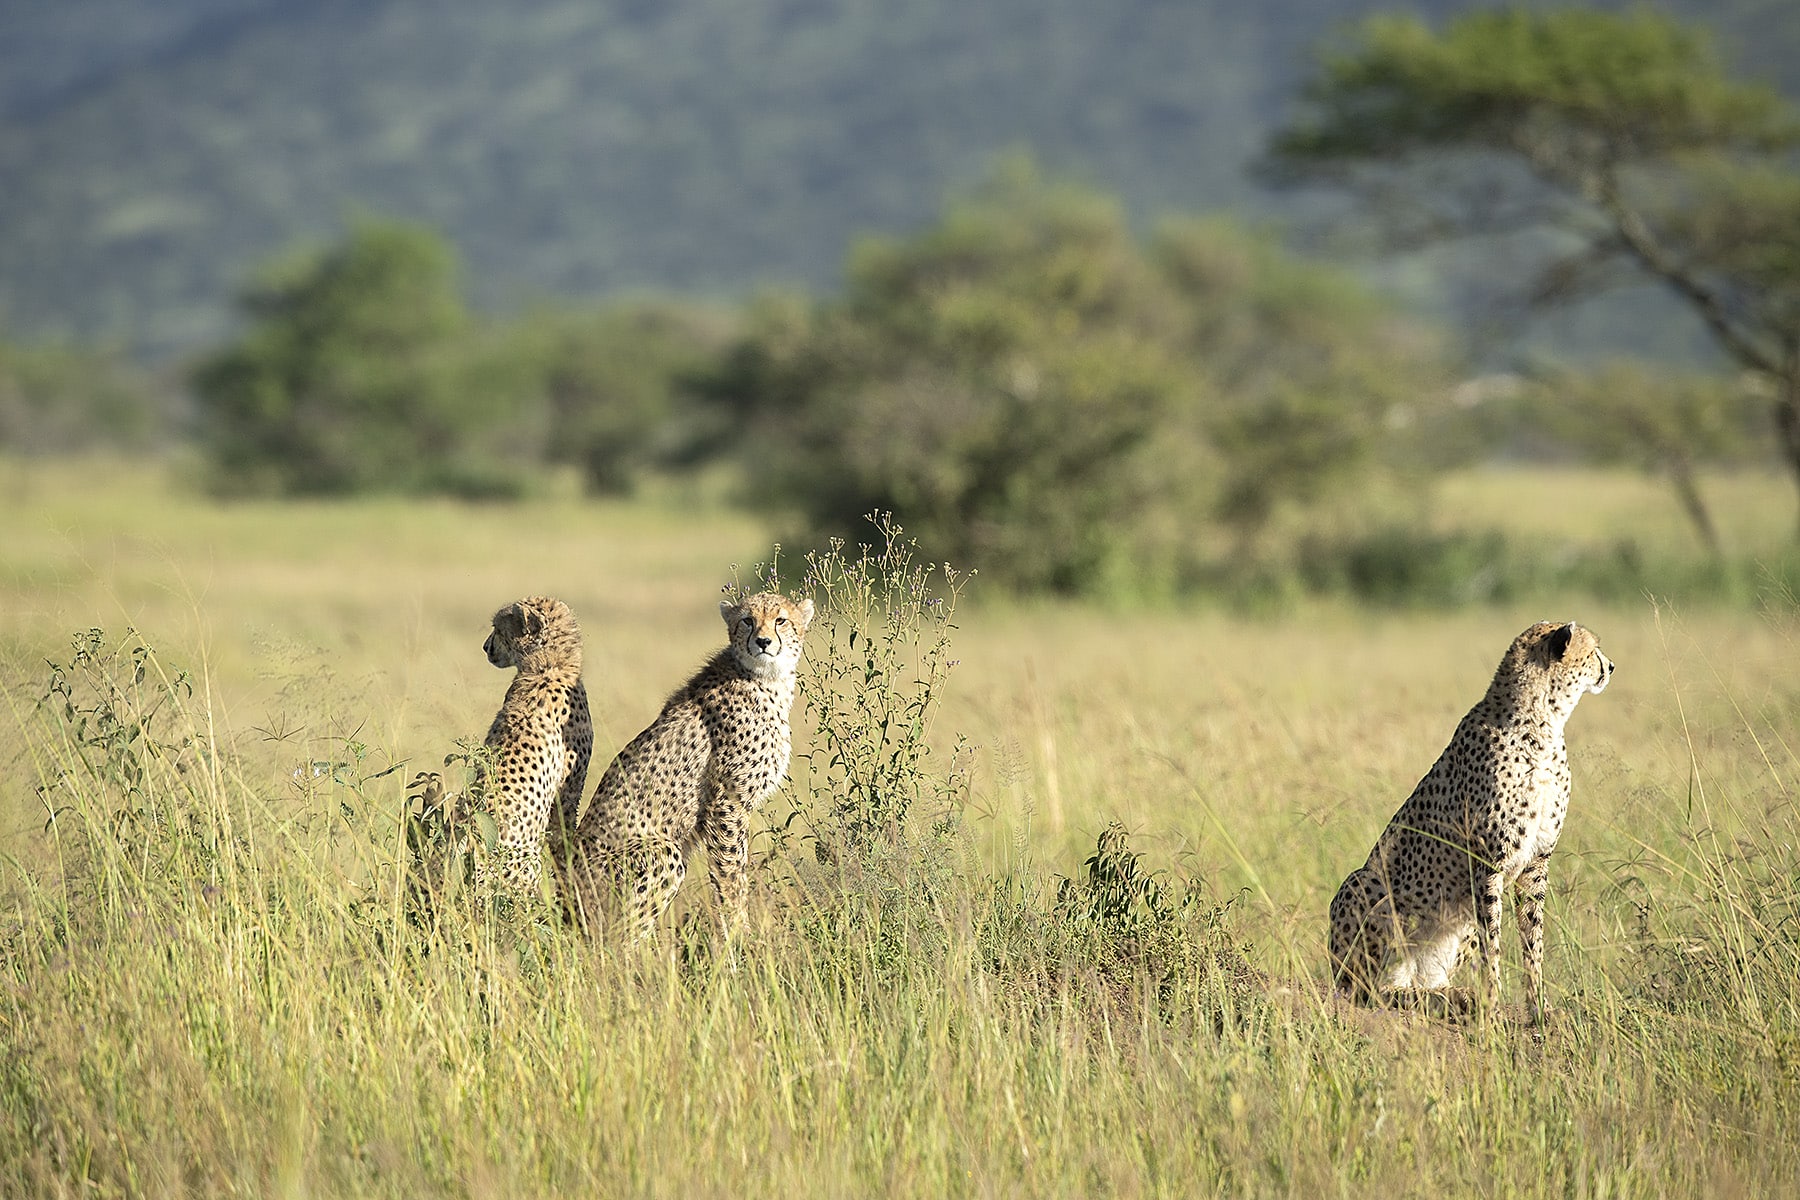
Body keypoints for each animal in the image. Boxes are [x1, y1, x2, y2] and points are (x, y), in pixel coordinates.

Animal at [561, 597, 817, 942]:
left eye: (781, 620)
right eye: (747, 621)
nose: (763, 642)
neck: (766, 679)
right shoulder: (726, 804)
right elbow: (731, 874)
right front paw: (740, 936)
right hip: (663, 852)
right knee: (617, 940)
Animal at [1324, 618, 1620, 1021]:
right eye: (1592, 651)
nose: (1612, 666)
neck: (1544, 723)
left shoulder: (1535, 863)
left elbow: (1533, 940)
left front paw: (1538, 1006)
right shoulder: (1489, 862)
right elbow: (1492, 941)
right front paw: (1492, 1006)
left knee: (1417, 983)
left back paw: (1450, 996)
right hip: (1365, 885)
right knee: (1368, 990)